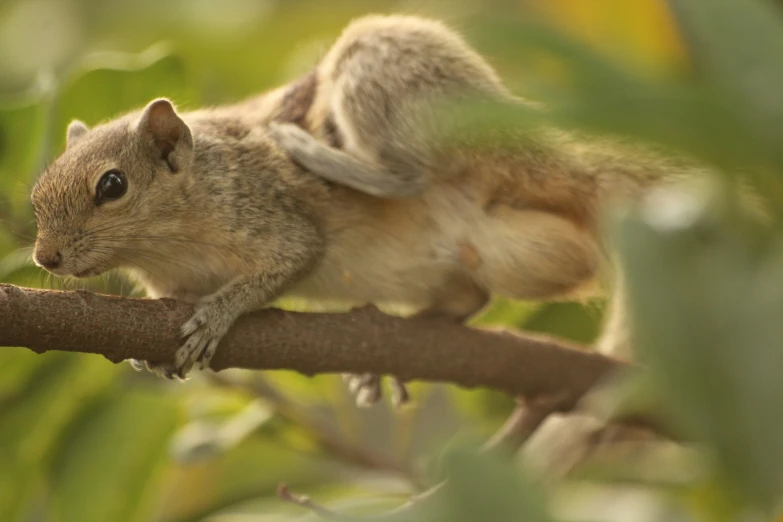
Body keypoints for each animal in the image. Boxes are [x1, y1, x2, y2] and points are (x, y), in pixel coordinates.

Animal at [29, 12, 692, 402]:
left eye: (112, 186)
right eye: (35, 196)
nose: (44, 258)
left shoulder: (262, 205)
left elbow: (292, 256)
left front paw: (218, 314)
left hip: (384, 69)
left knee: (408, 174)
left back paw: (330, 157)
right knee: (469, 296)